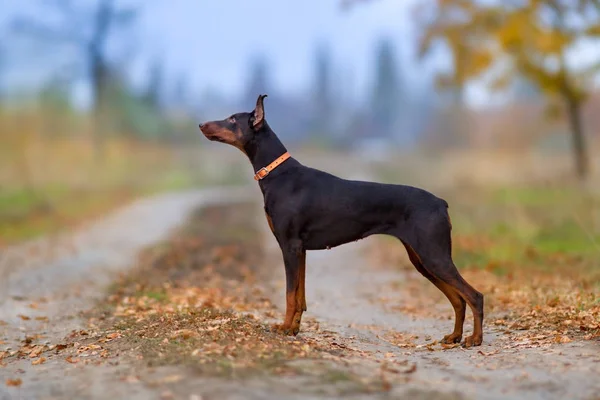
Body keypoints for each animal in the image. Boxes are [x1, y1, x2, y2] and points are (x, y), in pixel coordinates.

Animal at [199, 94, 486, 346]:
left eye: (232, 119)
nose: (201, 124)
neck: (278, 174)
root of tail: (440, 202)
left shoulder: (289, 246)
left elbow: (290, 294)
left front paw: (284, 328)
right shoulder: (301, 250)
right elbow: (300, 295)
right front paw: (294, 329)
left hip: (433, 254)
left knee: (474, 296)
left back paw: (474, 339)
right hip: (421, 259)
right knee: (458, 299)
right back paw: (454, 336)